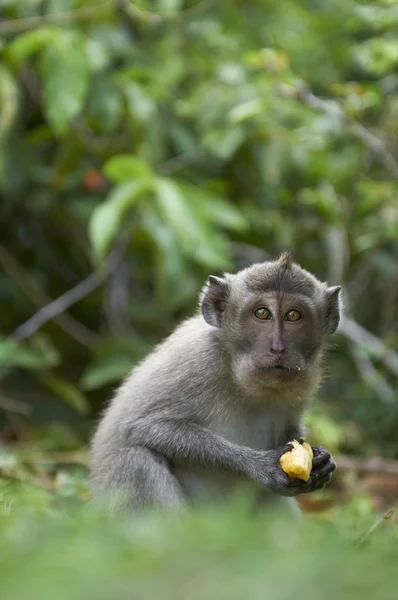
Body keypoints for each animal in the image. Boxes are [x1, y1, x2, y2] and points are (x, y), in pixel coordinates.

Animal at [89, 251, 338, 512]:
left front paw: (322, 461)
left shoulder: (305, 380)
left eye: (293, 315)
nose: (278, 348)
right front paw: (259, 467)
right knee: (137, 459)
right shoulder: (199, 360)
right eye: (262, 313)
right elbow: (141, 426)